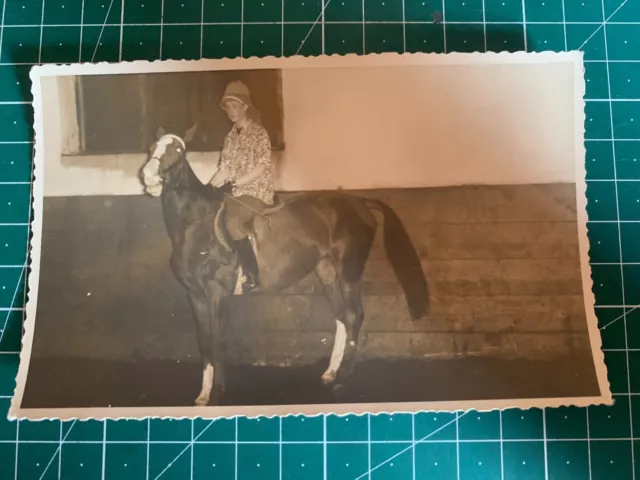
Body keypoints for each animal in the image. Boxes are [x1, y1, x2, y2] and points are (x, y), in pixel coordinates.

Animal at [140, 125, 430, 406]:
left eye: (178, 150)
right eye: (153, 147)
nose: (149, 178)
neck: (198, 228)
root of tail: (359, 202)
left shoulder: (217, 294)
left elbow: (218, 343)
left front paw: (219, 394)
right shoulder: (195, 296)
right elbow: (204, 344)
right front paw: (202, 395)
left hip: (349, 272)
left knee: (353, 317)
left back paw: (344, 379)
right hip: (326, 272)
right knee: (340, 318)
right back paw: (330, 373)